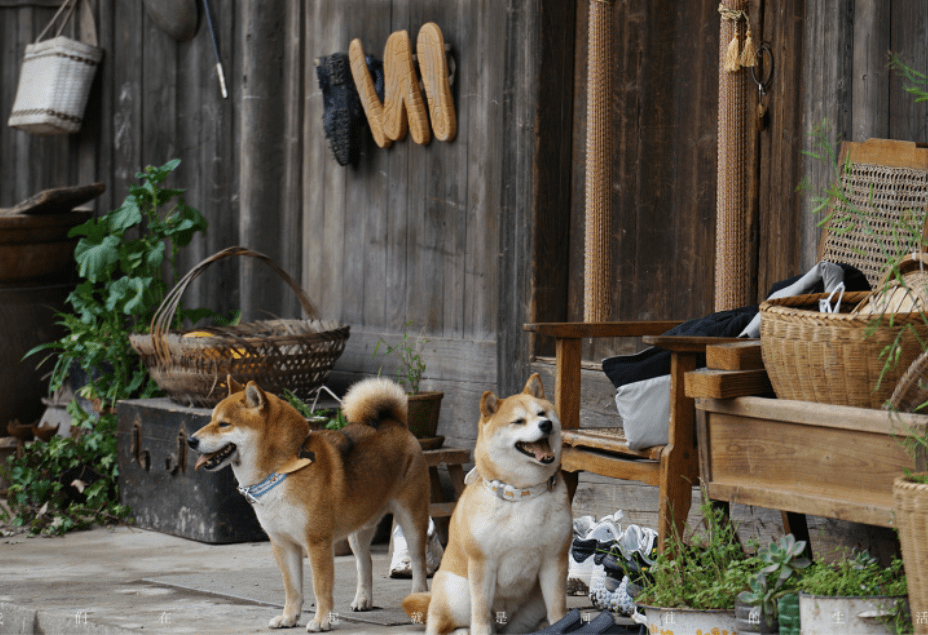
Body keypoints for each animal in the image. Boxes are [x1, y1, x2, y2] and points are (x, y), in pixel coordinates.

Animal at [191, 378, 436, 632]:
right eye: (211, 420)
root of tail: (395, 423)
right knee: (364, 562)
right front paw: (288, 618)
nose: (190, 440)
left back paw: (418, 598)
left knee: (418, 561)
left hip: (411, 518)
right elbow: (292, 588)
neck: (282, 470)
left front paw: (321, 620)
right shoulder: (283, 544)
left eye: (224, 424)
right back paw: (363, 600)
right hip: (359, 529)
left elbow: (320, 587)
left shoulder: (317, 543)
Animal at [404, 376, 572, 632]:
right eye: (518, 421)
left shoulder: (555, 560)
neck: (521, 492)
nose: (546, 425)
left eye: (542, 413)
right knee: (443, 622)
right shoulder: (482, 563)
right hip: (457, 593)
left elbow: (558, 611)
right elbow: (481, 614)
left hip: (530, 607)